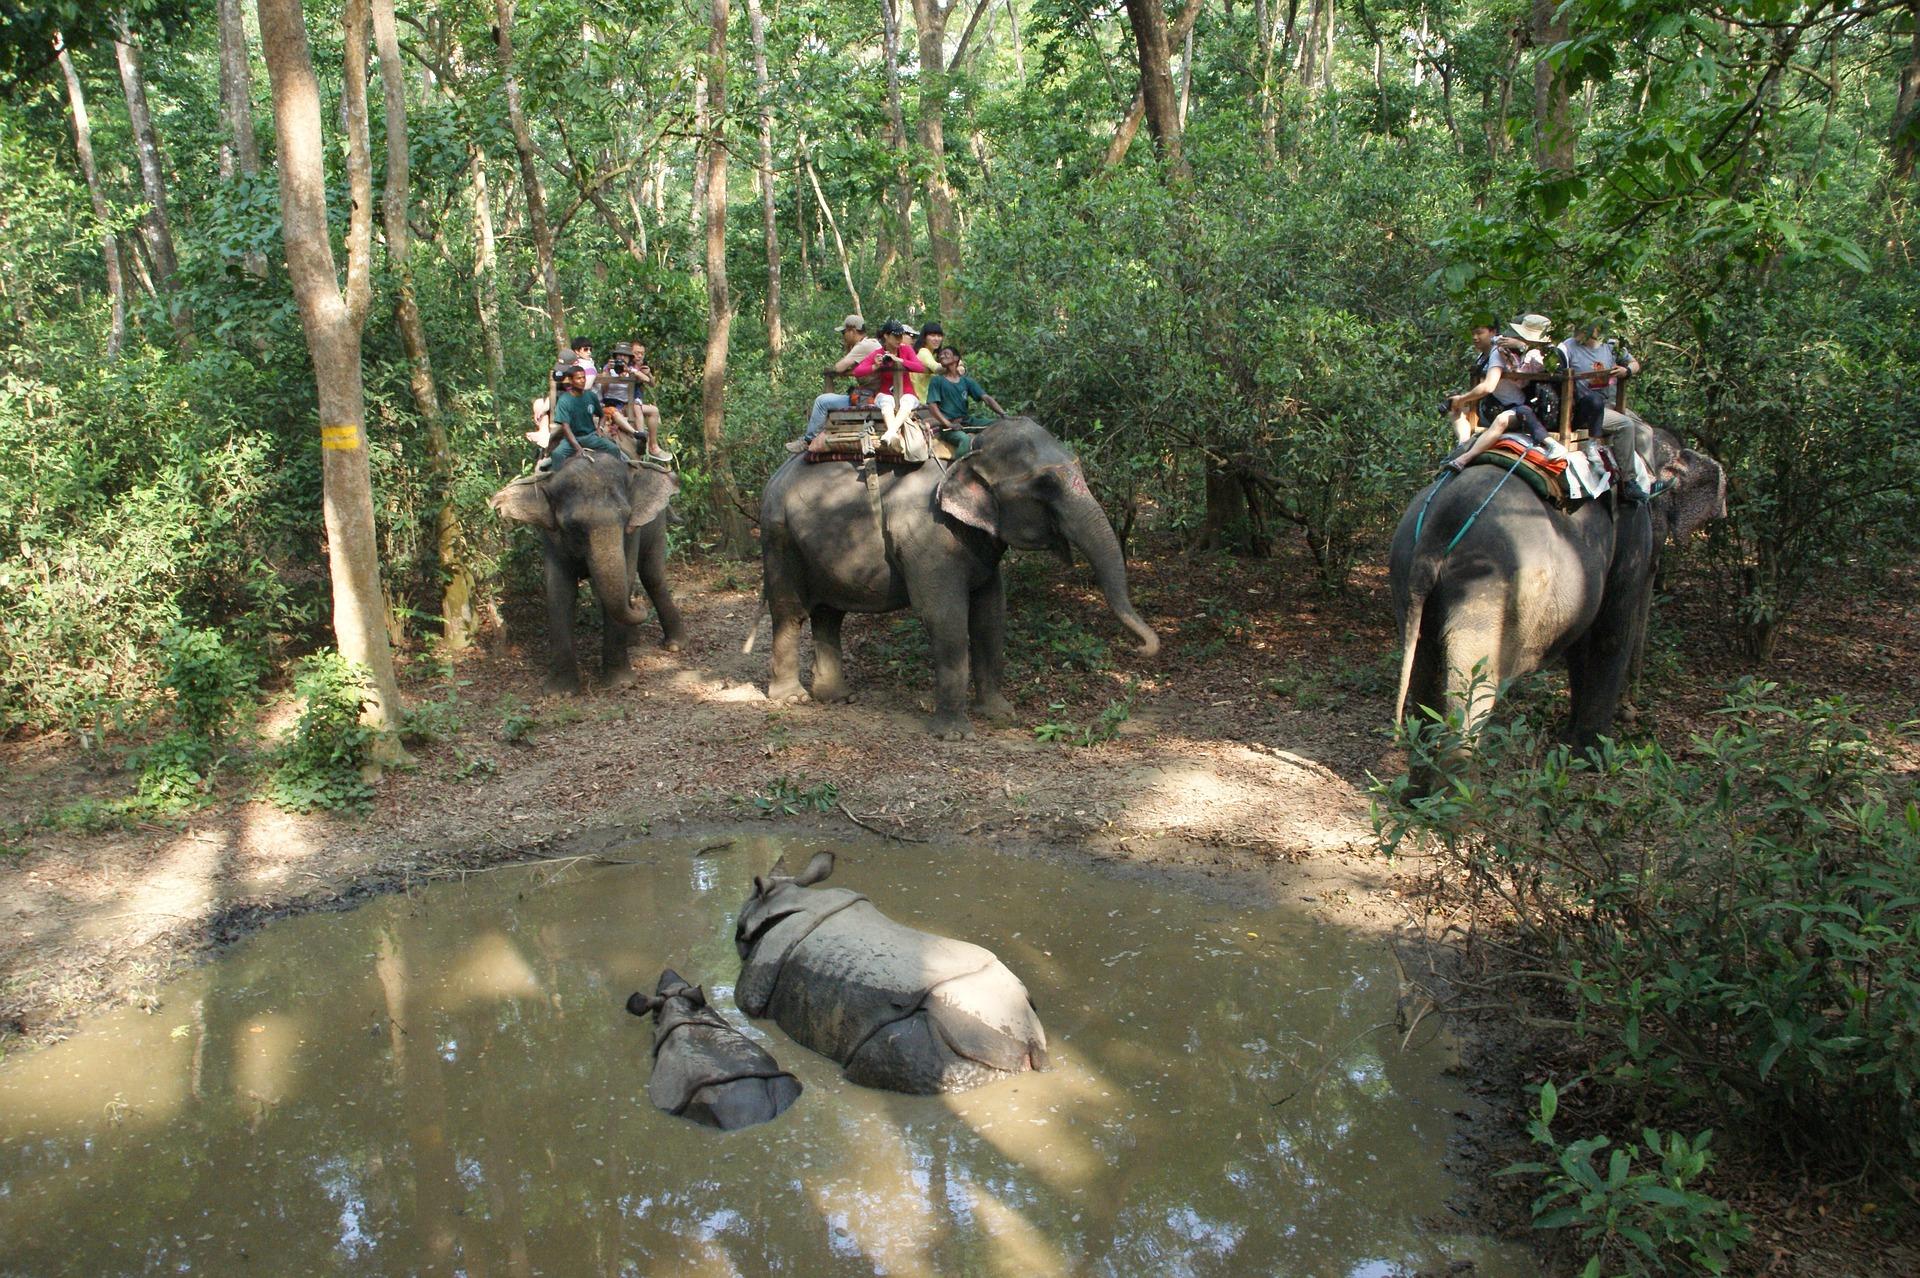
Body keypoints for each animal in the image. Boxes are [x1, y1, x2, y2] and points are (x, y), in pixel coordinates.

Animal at [490, 452, 686, 693]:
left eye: (626, 517)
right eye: (573, 526)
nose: (638, 606)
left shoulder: (633, 532)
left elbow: (628, 574)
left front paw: (620, 683)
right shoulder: (550, 535)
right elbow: (559, 591)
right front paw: (560, 693)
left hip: (656, 521)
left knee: (652, 576)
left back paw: (674, 645)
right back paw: (632, 641)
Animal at [734, 852, 1049, 1094]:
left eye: (739, 927)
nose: (736, 936)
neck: (791, 898)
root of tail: (1031, 1043)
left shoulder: (757, 980)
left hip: (950, 1032)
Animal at [755, 415, 1158, 738]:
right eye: (1045, 485)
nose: (1139, 648)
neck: (969, 450)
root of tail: (776, 474)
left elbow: (991, 614)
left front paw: (1000, 714)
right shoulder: (926, 533)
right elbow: (945, 615)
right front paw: (955, 736)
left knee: (829, 614)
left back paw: (837, 697)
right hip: (778, 537)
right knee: (790, 612)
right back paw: (792, 698)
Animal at [1389, 411, 1725, 771]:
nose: (1631, 710)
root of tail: (1435, 535)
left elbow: (1582, 644)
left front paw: (1571, 742)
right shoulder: (1632, 528)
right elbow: (1610, 634)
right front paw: (1592, 757)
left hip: (1407, 570)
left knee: (1425, 669)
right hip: (1490, 587)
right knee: (1474, 684)